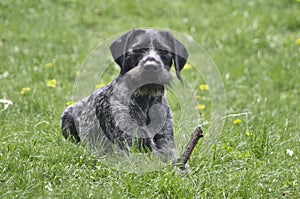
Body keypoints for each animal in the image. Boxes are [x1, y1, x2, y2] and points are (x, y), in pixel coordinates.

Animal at [61, 28, 188, 162]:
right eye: (137, 50)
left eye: (163, 51)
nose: (151, 66)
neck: (146, 102)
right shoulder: (131, 150)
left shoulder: (168, 147)